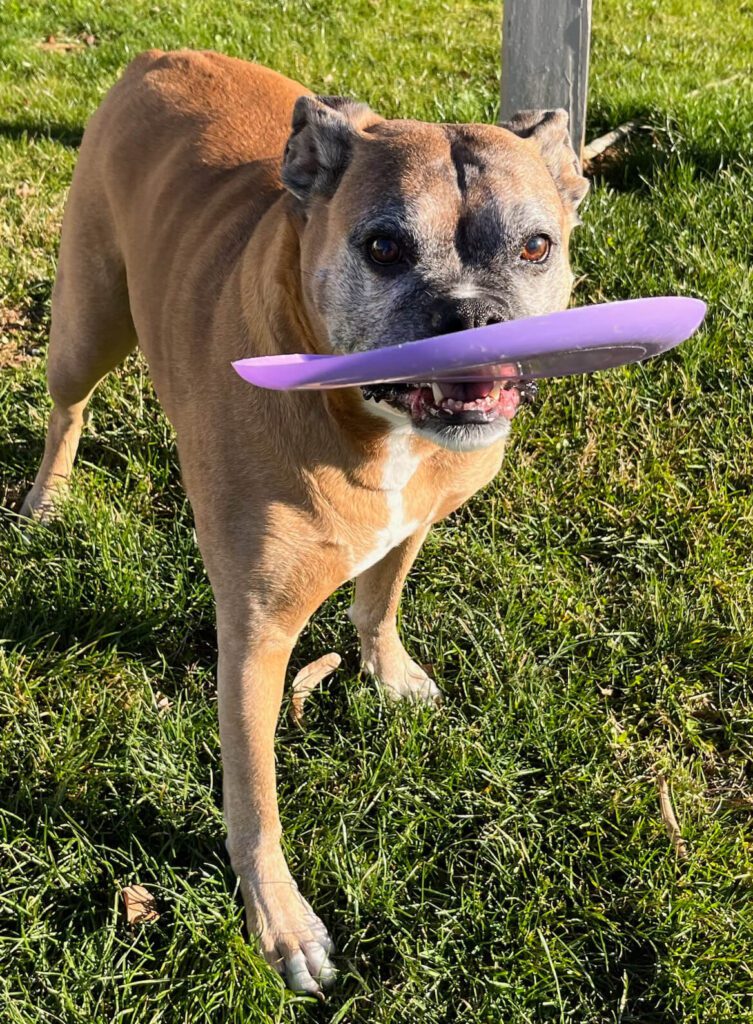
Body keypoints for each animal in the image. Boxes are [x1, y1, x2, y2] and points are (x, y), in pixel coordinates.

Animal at [20, 48, 590, 991]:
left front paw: (389, 672)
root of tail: (163, 55)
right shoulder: (255, 637)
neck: (374, 427)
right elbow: (255, 799)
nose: (473, 318)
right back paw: (47, 498)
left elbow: (380, 600)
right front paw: (281, 924)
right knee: (69, 404)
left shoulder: (410, 524)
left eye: (535, 246)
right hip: (86, 323)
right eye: (384, 247)